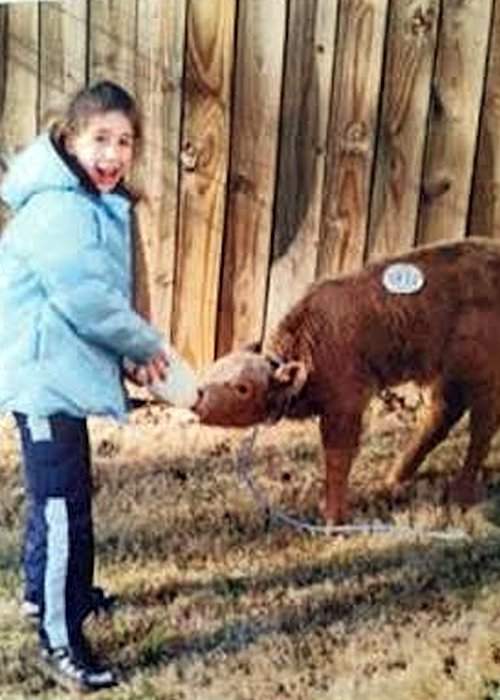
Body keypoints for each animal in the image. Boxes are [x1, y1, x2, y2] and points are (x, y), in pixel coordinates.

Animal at [193, 238, 500, 524]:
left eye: (242, 387)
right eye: (214, 369)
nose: (197, 398)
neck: (310, 342)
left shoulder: (346, 404)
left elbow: (338, 455)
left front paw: (333, 518)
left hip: (481, 376)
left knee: (481, 427)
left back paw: (460, 494)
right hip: (449, 375)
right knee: (442, 416)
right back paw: (394, 478)